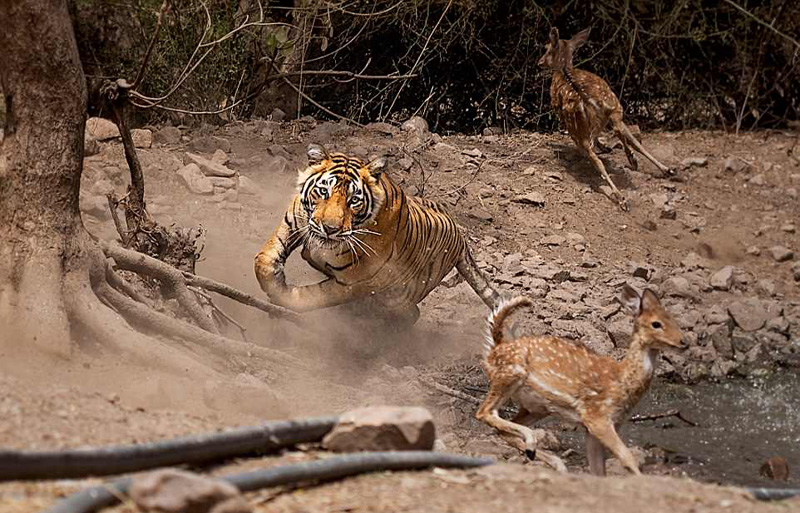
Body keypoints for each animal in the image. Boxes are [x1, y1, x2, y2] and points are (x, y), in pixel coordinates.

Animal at [253, 142, 500, 326]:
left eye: (354, 200)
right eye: (323, 191)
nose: (330, 229)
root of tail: (461, 238)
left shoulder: (353, 282)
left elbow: (311, 298)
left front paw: (281, 296)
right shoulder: (292, 223)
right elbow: (264, 260)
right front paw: (275, 282)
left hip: (398, 296)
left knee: (411, 314)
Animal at [478, 286, 684, 474]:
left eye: (674, 320)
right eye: (656, 324)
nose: (684, 341)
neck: (622, 381)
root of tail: (495, 348)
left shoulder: (598, 426)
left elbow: (599, 470)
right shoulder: (596, 417)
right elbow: (627, 458)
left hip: (537, 407)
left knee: (502, 429)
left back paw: (552, 461)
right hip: (511, 373)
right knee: (484, 412)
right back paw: (535, 446)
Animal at [536, 25, 676, 210]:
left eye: (546, 48)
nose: (539, 63)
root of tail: (586, 98)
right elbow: (629, 139)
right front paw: (628, 156)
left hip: (582, 123)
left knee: (596, 154)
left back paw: (623, 193)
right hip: (613, 107)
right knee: (620, 137)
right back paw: (661, 171)